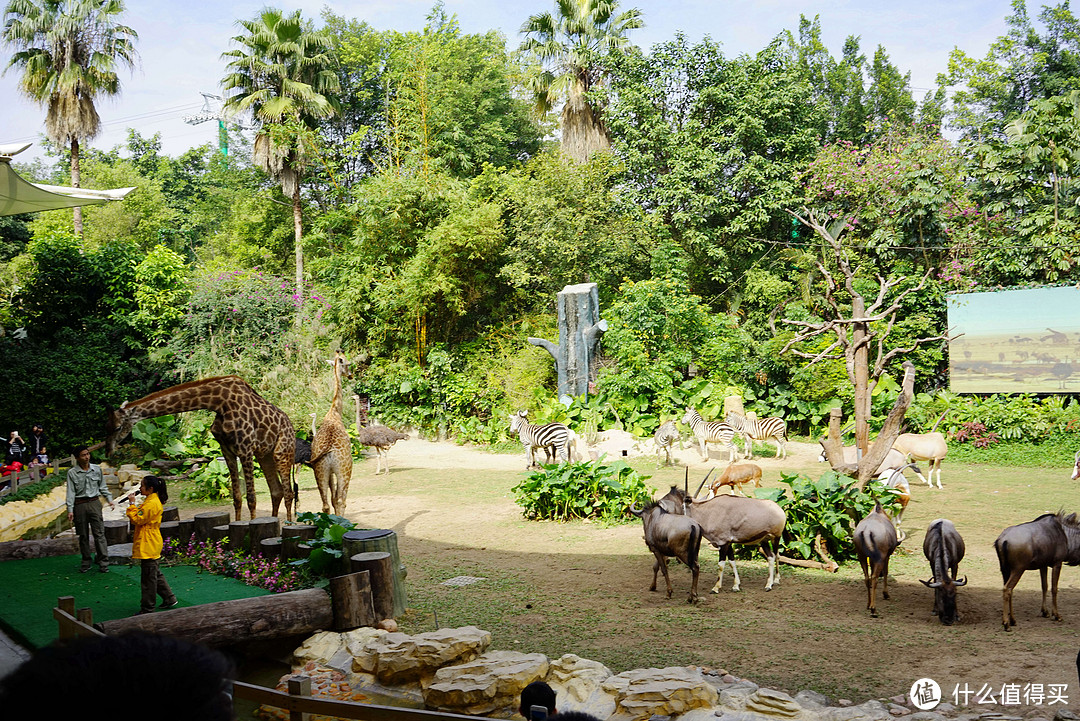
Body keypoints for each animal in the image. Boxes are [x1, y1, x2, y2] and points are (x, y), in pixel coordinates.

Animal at [104, 375, 295, 520]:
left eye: (118, 427)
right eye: (108, 427)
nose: (108, 451)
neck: (219, 403)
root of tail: (291, 427)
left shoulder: (245, 449)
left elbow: (251, 499)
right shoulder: (227, 451)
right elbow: (237, 497)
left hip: (281, 452)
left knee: (288, 493)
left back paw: (289, 524)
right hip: (264, 455)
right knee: (277, 491)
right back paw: (274, 522)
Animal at [308, 349, 354, 515]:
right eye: (347, 363)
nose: (350, 375)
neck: (335, 412)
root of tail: (328, 449)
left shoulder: (329, 472)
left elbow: (332, 500)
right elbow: (337, 500)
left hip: (320, 470)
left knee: (325, 504)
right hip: (345, 469)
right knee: (342, 501)